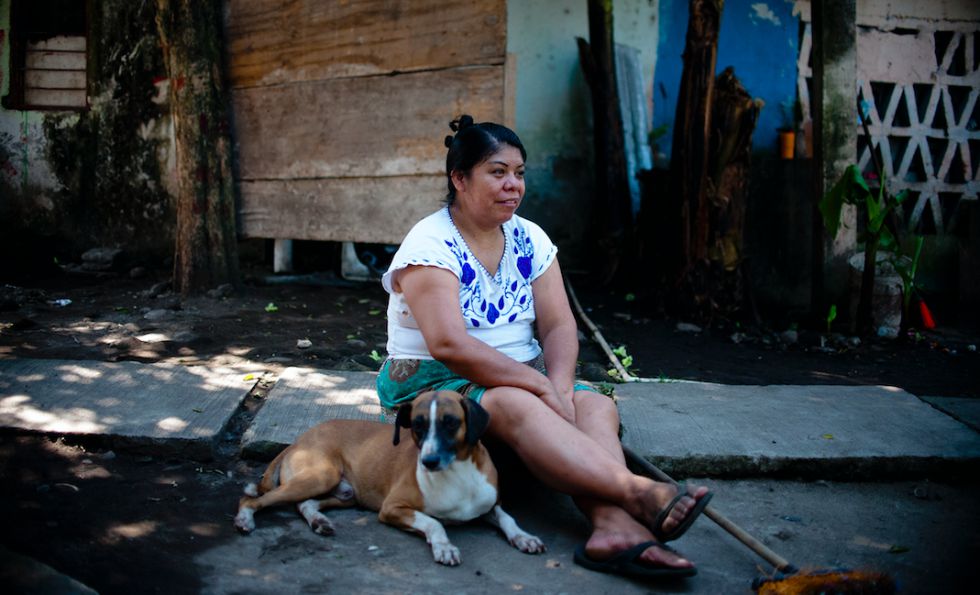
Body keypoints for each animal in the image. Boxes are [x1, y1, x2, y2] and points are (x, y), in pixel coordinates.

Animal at [234, 388, 548, 564]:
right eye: (417, 426)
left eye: (450, 423)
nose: (428, 461)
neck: (458, 474)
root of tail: (298, 440)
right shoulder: (392, 508)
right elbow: (434, 523)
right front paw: (444, 546)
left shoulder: (490, 504)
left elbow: (508, 518)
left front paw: (523, 537)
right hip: (320, 476)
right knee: (252, 500)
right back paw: (245, 519)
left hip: (344, 494)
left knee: (305, 504)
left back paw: (319, 521)